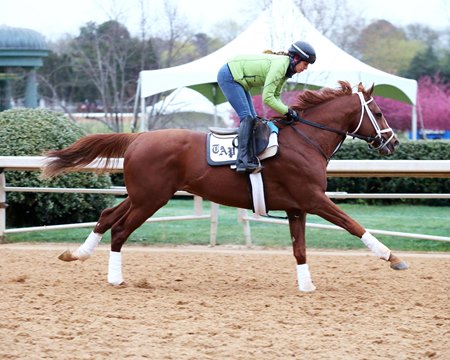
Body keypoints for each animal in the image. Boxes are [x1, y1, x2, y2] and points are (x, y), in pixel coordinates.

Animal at [43, 81, 408, 292]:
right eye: (377, 112)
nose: (392, 143)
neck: (305, 140)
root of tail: (137, 138)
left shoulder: (296, 207)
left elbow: (300, 248)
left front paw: (306, 286)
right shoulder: (314, 198)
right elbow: (352, 224)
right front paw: (391, 256)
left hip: (142, 195)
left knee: (107, 215)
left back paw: (76, 253)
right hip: (151, 199)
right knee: (120, 230)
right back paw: (115, 278)